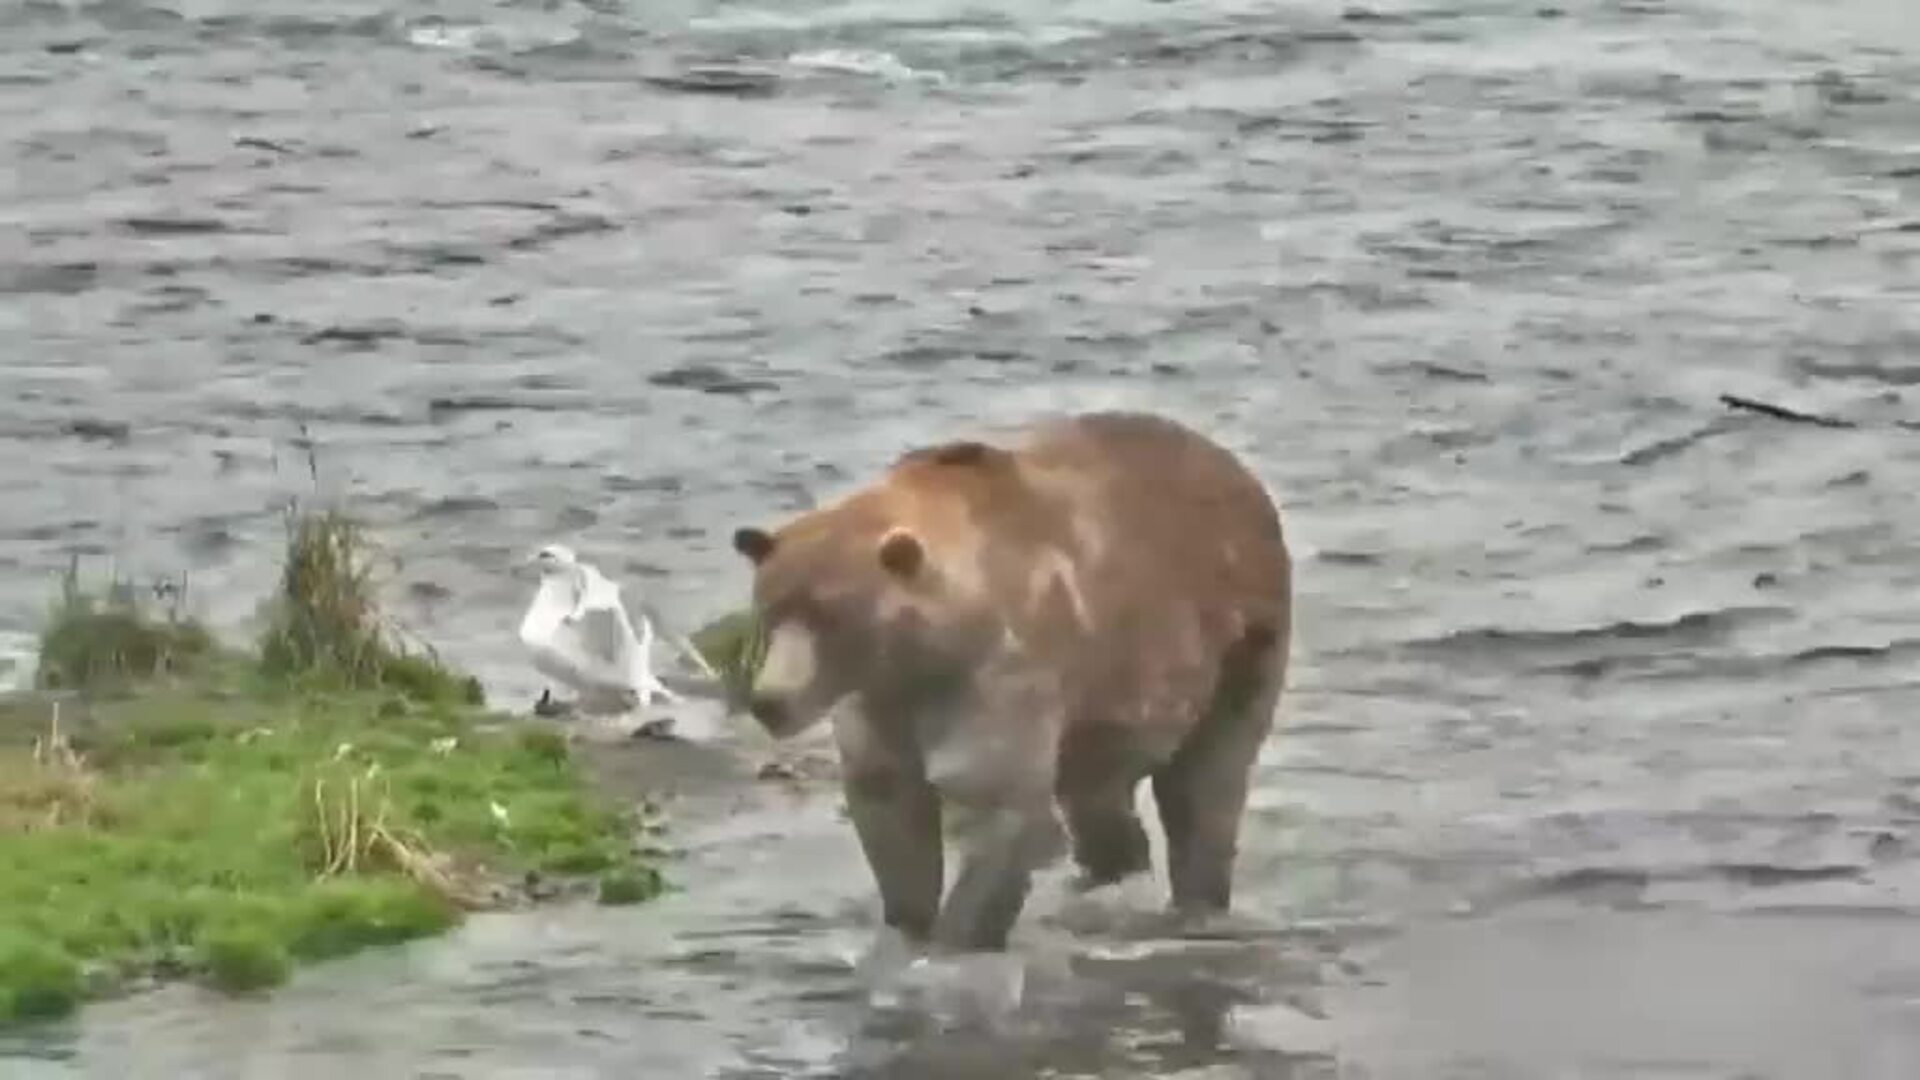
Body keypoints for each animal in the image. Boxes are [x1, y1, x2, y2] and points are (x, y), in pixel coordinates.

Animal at [728, 410, 1291, 953]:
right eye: (769, 611)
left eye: (832, 617)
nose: (770, 700)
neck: (926, 654)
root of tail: (1237, 470)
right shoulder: (881, 704)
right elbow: (890, 812)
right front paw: (907, 924)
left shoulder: (1001, 675)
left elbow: (1000, 810)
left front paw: (954, 939)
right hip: (1106, 716)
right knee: (1102, 802)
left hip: (1236, 641)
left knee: (1206, 786)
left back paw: (1195, 898)